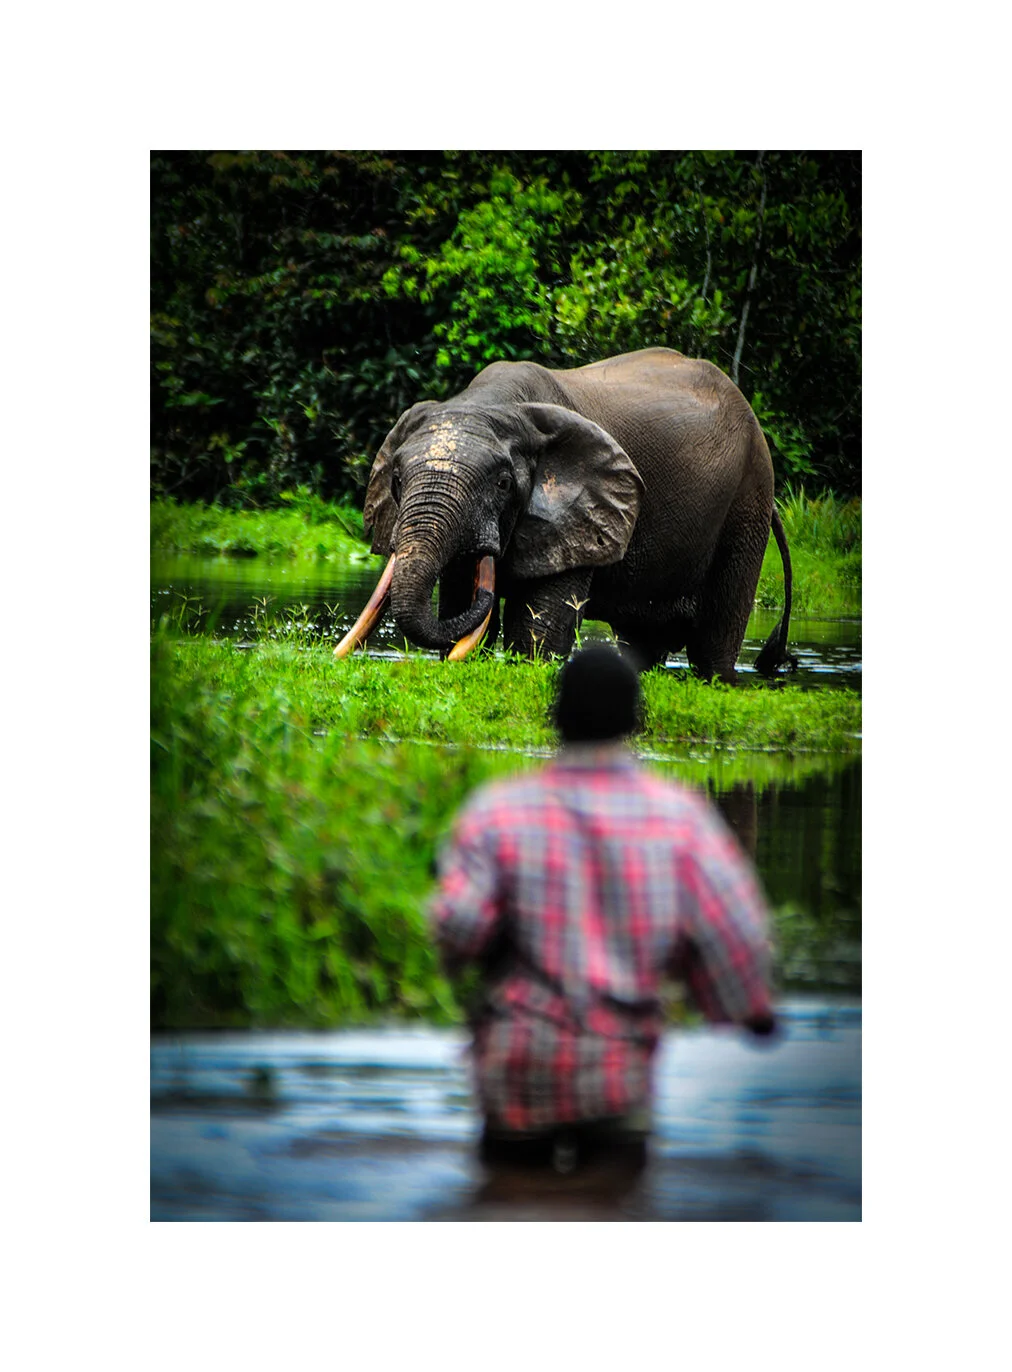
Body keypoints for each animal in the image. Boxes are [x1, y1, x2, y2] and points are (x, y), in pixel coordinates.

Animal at [336, 347, 796, 682]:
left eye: (504, 484)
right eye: (397, 480)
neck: (495, 406)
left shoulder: (582, 515)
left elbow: (536, 633)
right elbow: (458, 600)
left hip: (749, 498)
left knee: (713, 641)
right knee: (642, 642)